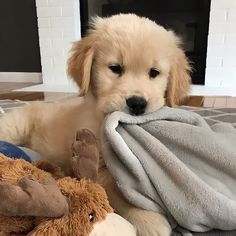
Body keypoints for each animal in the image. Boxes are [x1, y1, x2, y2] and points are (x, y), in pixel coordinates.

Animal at [0, 14, 190, 236]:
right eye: (115, 68)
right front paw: (148, 219)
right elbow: (118, 191)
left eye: (154, 72)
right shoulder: (96, 164)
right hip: (14, 128)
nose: (137, 104)